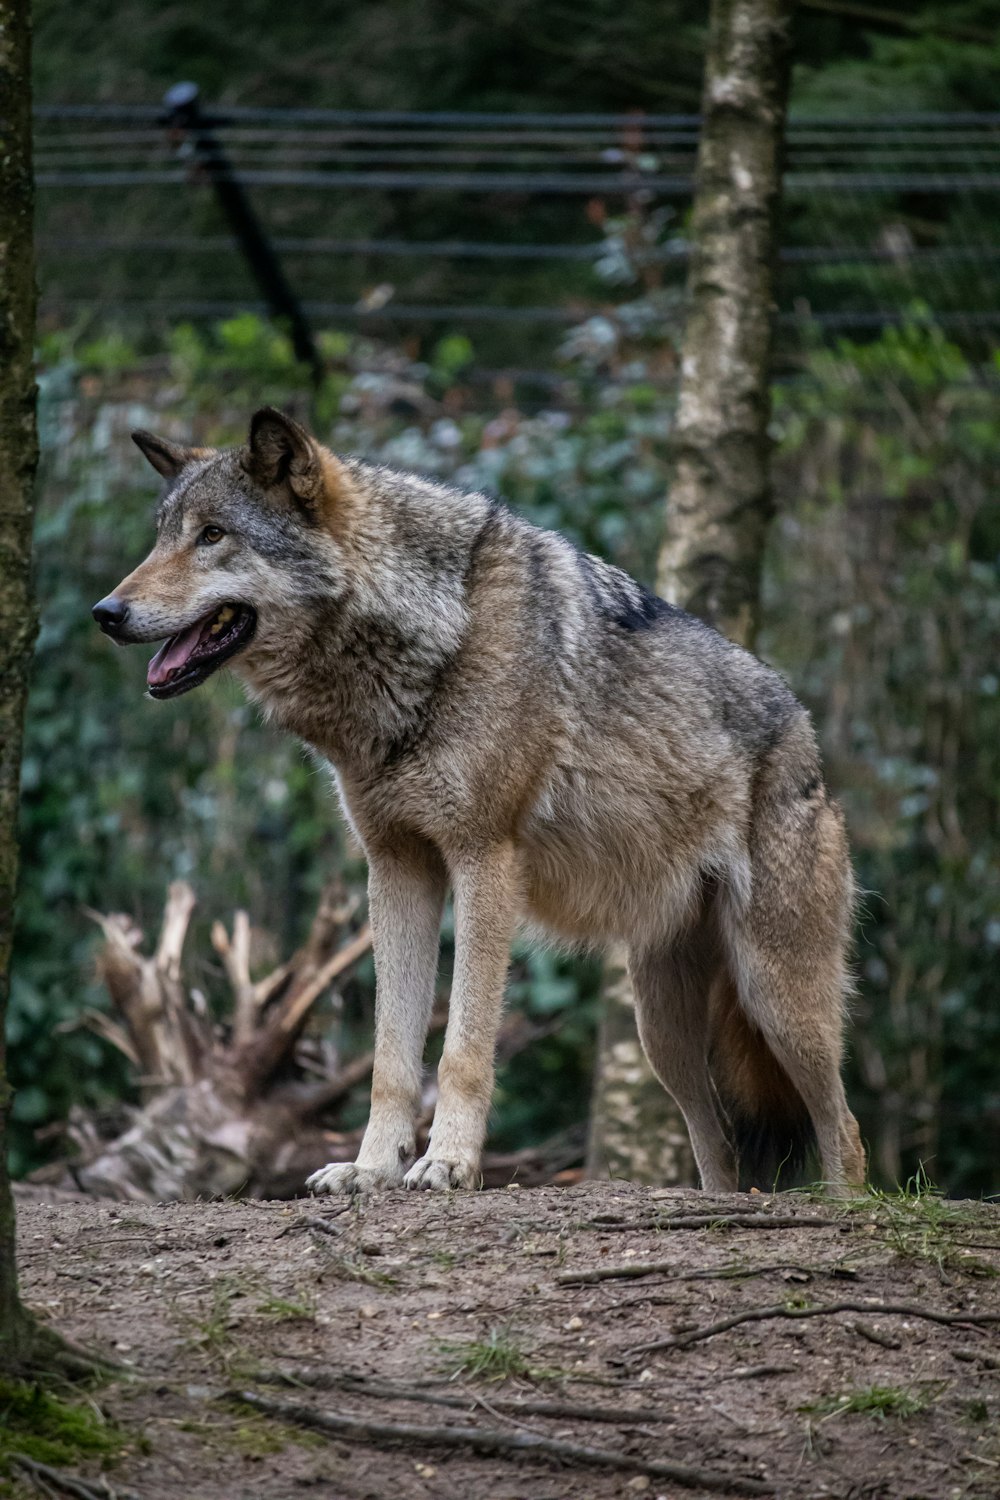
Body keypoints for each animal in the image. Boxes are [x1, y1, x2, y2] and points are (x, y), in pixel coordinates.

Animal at [95, 408, 869, 1194]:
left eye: (212, 535)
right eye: (163, 534)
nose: (106, 612)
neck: (429, 633)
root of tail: (806, 738)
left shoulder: (483, 861)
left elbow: (461, 1048)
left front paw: (447, 1164)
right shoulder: (397, 869)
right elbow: (391, 1058)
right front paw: (369, 1169)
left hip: (776, 999)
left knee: (845, 1127)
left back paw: (842, 1205)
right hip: (663, 1037)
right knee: (723, 1150)